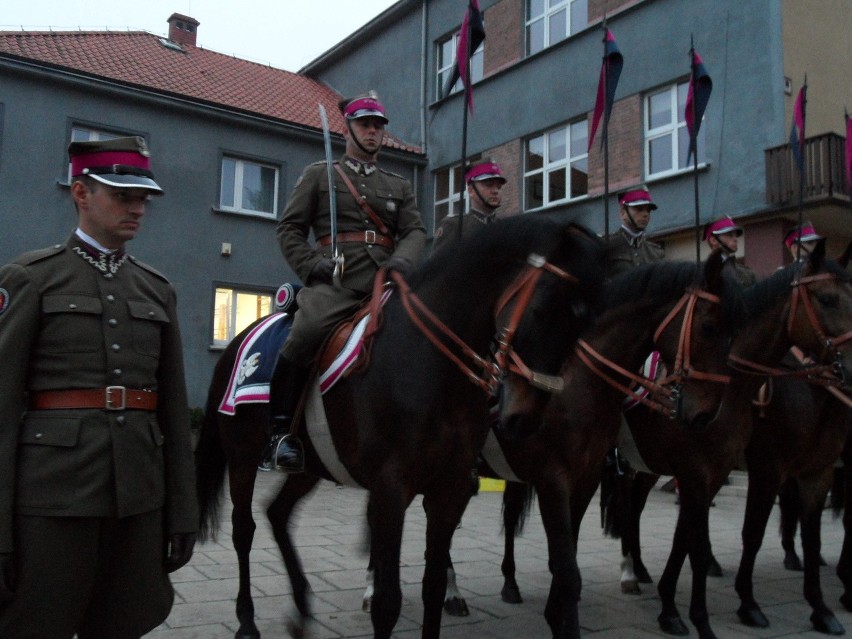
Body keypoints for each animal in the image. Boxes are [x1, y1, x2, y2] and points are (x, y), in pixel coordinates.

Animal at [193, 216, 604, 639]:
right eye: (541, 309)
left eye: (585, 325)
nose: (525, 417)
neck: (430, 361)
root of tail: (239, 339)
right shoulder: (391, 488)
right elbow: (388, 602)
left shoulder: (450, 488)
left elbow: (433, 586)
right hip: (242, 457)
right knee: (243, 529)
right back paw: (247, 620)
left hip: (311, 466)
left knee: (278, 513)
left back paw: (302, 610)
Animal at [600, 242, 852, 636]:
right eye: (827, 298)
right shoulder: (756, 470)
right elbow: (747, 533)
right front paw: (746, 604)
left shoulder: (814, 472)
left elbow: (811, 537)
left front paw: (821, 609)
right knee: (627, 507)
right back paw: (629, 572)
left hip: (648, 463)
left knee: (636, 506)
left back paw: (639, 569)